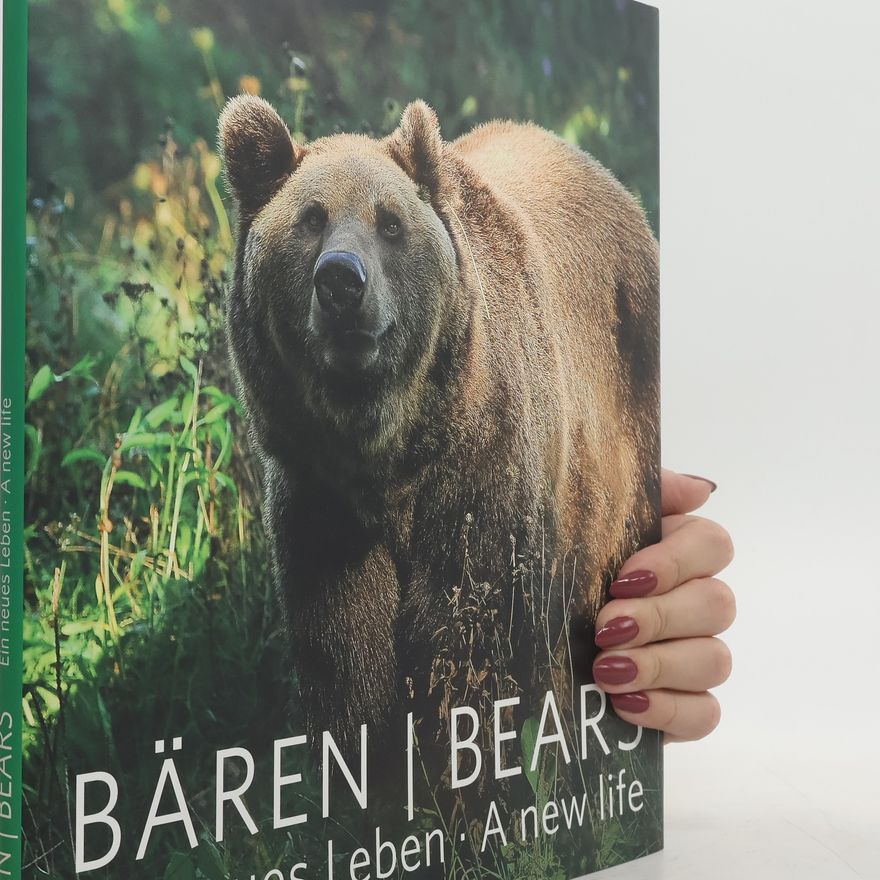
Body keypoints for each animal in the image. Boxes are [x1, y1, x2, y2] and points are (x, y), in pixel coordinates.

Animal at [218, 95, 660, 755]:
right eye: (311, 219)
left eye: (389, 223)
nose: (341, 280)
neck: (386, 452)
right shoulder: (320, 503)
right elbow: (346, 656)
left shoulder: (482, 468)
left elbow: (475, 633)